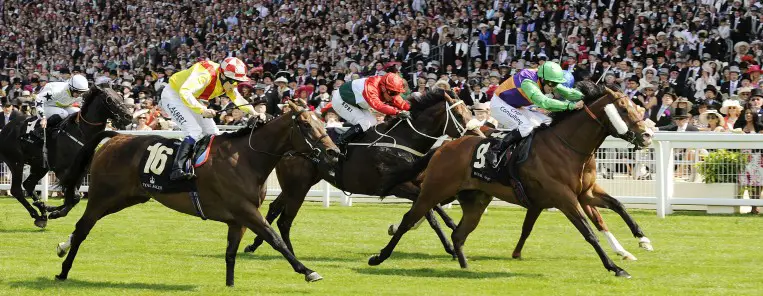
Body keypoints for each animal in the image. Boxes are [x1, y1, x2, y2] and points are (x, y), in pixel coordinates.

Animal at [0, 86, 132, 228]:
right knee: (16, 189)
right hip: (16, 162)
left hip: (40, 166)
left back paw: (42, 212)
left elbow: (74, 198)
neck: (81, 133)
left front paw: (54, 210)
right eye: (109, 99)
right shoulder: (62, 170)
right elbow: (74, 197)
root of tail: (6, 128)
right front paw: (54, 211)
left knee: (28, 185)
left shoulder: (80, 171)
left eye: (121, 96)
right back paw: (36, 213)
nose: (129, 116)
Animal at [53, 100, 340, 286]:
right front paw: (308, 271)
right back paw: (63, 271)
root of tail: (115, 137)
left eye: (322, 122)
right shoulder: (246, 210)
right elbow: (275, 239)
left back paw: (62, 248)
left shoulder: (238, 219)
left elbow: (230, 253)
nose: (333, 152)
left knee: (82, 226)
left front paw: (230, 285)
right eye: (305, 125)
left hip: (127, 198)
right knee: (82, 227)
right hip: (103, 196)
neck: (246, 158)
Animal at [245, 88, 478, 256]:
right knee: (280, 213)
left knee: (274, 208)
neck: (403, 141)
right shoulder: (394, 187)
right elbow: (430, 213)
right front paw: (451, 244)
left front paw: (452, 231)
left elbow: (433, 208)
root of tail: (287, 147)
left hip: (297, 185)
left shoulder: (418, 184)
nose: (478, 134)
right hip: (298, 185)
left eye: (470, 111)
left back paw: (254, 245)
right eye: (459, 114)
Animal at [374, 82, 652, 278]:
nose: (648, 136)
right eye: (624, 110)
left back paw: (464, 266)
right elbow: (589, 232)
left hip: (473, 199)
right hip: (435, 189)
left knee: (458, 233)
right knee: (411, 218)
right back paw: (379, 256)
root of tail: (444, 147)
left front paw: (642, 239)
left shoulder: (586, 192)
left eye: (638, 108)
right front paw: (615, 267)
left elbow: (618, 205)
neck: (568, 146)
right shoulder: (564, 197)